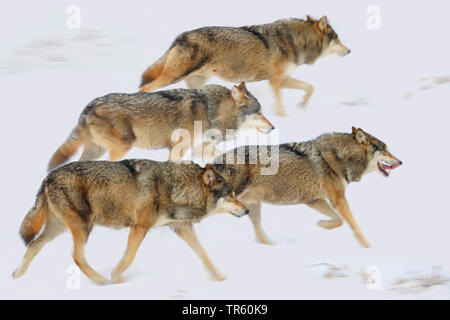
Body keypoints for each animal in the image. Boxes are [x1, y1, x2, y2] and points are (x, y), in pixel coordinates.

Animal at [12, 160, 250, 284]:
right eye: (231, 195)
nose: (247, 210)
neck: (177, 187)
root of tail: (48, 177)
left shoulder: (181, 228)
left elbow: (204, 254)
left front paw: (218, 277)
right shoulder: (140, 227)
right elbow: (129, 257)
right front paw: (116, 276)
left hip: (58, 228)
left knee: (33, 245)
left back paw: (16, 277)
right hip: (83, 227)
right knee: (76, 256)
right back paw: (101, 281)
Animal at [48, 83, 274, 172]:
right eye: (259, 112)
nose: (273, 127)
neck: (212, 112)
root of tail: (90, 105)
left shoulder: (200, 150)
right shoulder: (178, 150)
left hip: (97, 150)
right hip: (121, 148)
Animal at [139, 15, 350, 116]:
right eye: (338, 39)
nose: (349, 51)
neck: (296, 40)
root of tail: (180, 36)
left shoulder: (281, 79)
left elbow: (310, 88)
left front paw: (302, 105)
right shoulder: (275, 81)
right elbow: (283, 103)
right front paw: (284, 116)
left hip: (195, 84)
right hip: (173, 77)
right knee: (144, 88)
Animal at [213, 127, 402, 248]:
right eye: (385, 150)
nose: (400, 162)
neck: (338, 156)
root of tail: (215, 161)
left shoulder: (315, 200)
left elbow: (339, 221)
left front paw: (321, 225)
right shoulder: (338, 199)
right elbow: (353, 225)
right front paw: (368, 247)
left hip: (251, 206)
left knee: (259, 234)